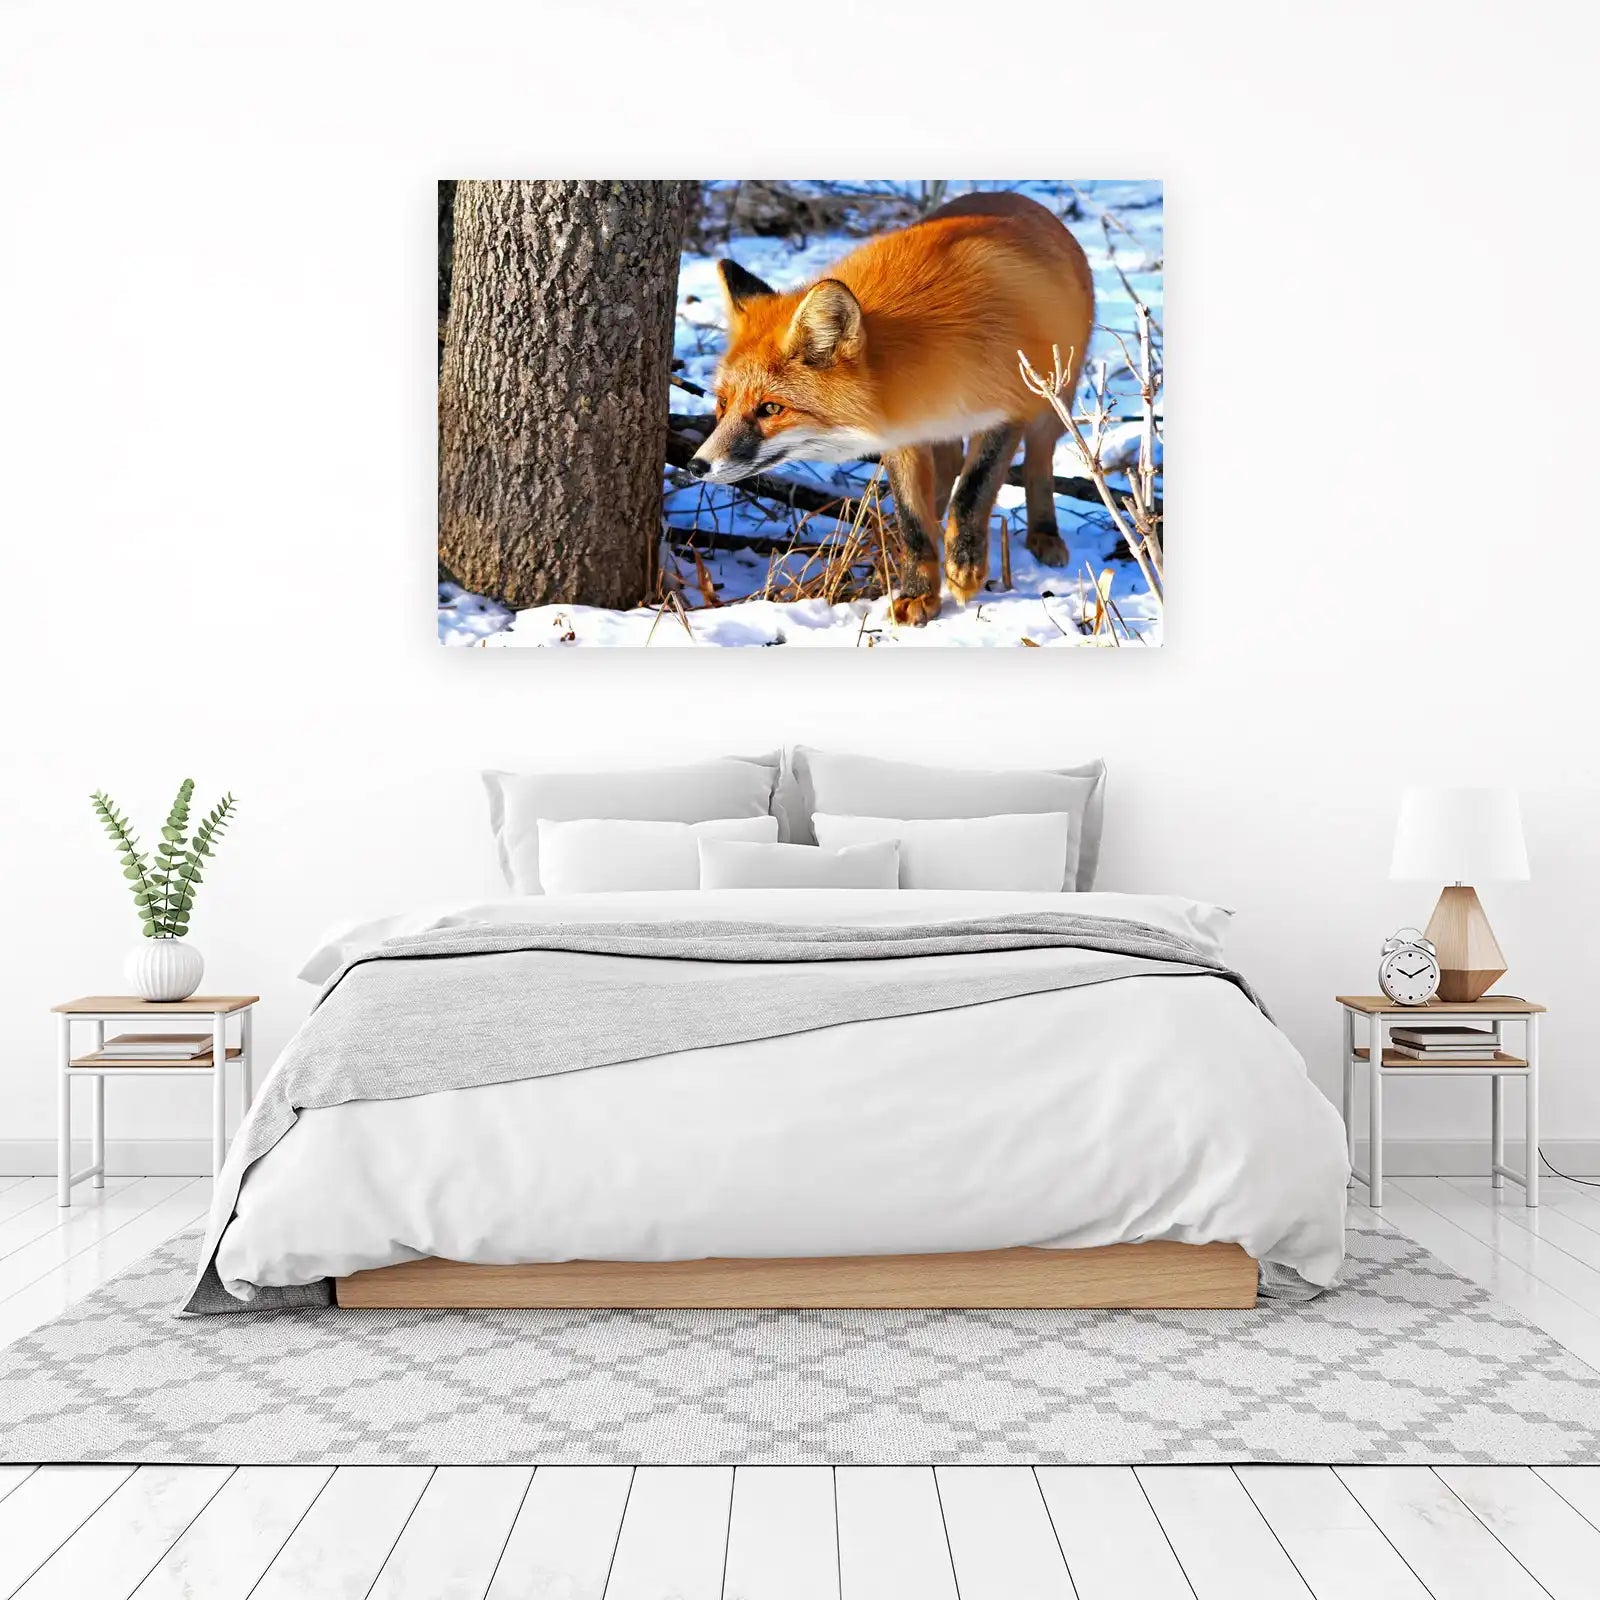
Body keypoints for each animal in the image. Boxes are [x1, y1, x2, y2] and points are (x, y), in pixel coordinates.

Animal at [688, 191, 1094, 625]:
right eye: (723, 403)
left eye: (769, 408)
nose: (696, 465)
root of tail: (1017, 198)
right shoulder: (903, 433)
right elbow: (912, 519)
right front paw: (919, 592)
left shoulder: (1009, 411)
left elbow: (973, 491)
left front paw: (964, 567)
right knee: (945, 476)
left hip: (1052, 400)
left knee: (1038, 461)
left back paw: (1044, 533)